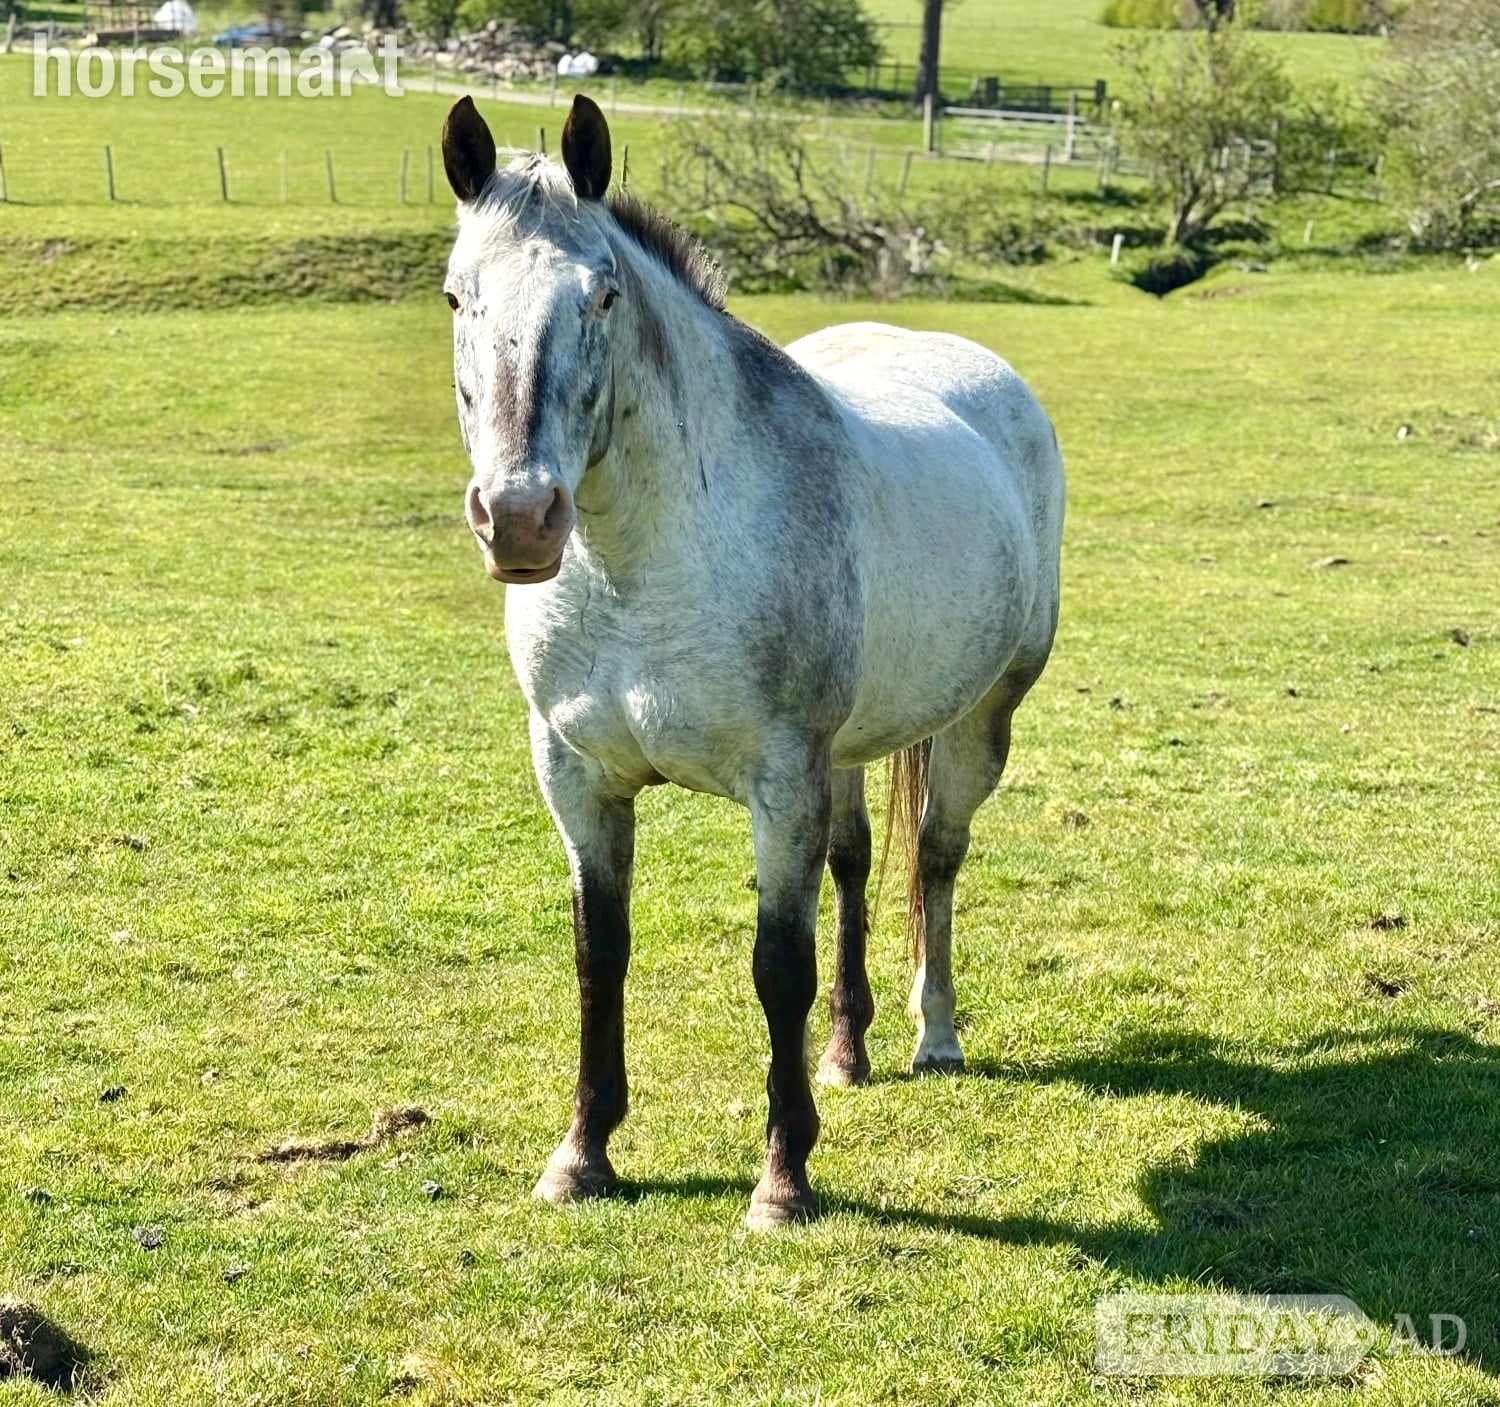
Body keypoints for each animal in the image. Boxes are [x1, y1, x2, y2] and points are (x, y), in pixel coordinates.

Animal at [440, 94, 1064, 1229]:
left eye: (601, 295)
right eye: (457, 294)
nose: (519, 516)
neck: (645, 563)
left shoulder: (780, 781)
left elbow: (780, 967)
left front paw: (783, 1181)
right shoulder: (578, 777)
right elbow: (601, 956)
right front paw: (582, 1154)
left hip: (978, 722)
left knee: (936, 859)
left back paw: (935, 1036)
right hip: (850, 751)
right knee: (860, 862)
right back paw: (851, 1052)